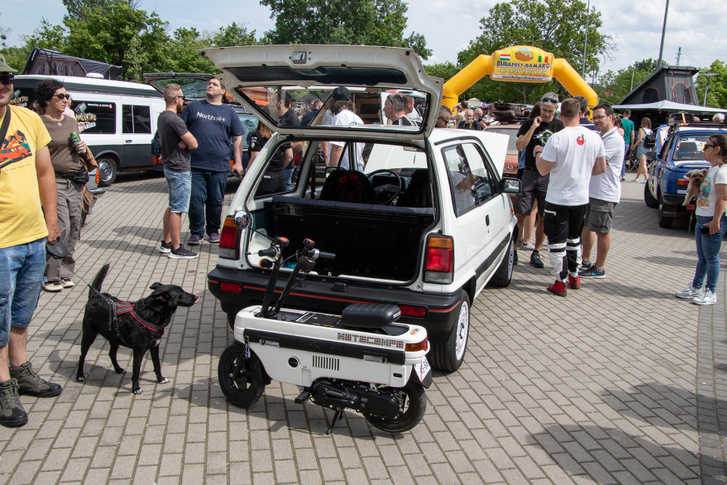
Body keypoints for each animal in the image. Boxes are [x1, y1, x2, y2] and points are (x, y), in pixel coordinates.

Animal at [77, 262, 199, 392]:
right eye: (181, 293)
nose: (196, 296)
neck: (150, 314)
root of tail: (95, 296)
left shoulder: (155, 347)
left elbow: (157, 365)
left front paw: (160, 379)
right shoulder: (138, 351)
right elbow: (136, 371)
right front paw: (136, 388)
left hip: (115, 338)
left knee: (111, 354)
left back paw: (118, 369)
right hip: (88, 335)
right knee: (82, 356)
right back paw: (80, 375)